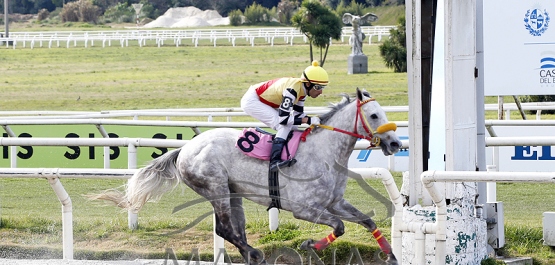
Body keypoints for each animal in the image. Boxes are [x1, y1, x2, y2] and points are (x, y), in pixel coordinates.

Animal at [93, 87, 402, 262]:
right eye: (374, 115)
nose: (395, 144)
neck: (324, 153)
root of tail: (184, 149)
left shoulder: (334, 203)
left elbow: (367, 220)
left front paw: (391, 254)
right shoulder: (304, 208)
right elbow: (339, 227)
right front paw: (309, 245)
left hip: (233, 192)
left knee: (234, 229)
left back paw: (250, 254)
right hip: (216, 188)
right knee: (225, 229)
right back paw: (254, 253)